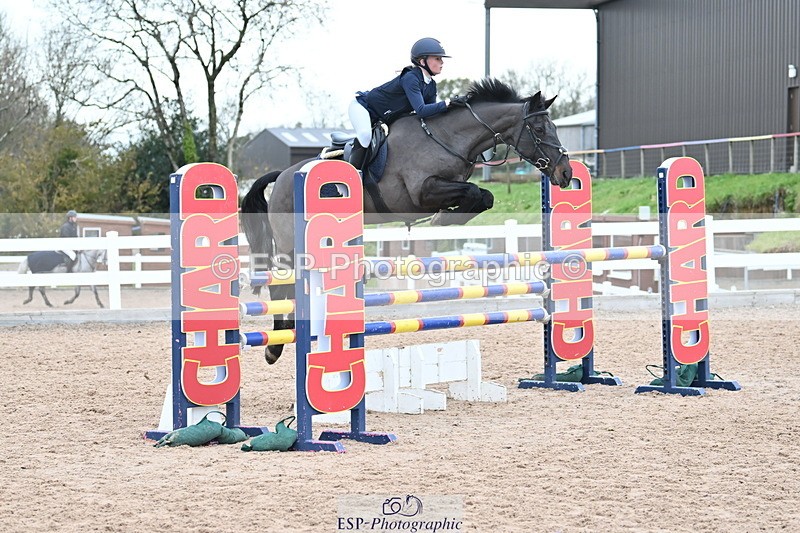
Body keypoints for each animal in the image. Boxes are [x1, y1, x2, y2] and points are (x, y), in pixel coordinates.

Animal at [241, 78, 572, 364]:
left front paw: (447, 217)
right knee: (281, 287)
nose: (566, 173)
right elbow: (472, 192)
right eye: (539, 128)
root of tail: (283, 175)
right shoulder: (421, 192)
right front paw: (441, 219)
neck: (447, 138)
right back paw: (274, 347)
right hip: (290, 244)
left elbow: (484, 196)